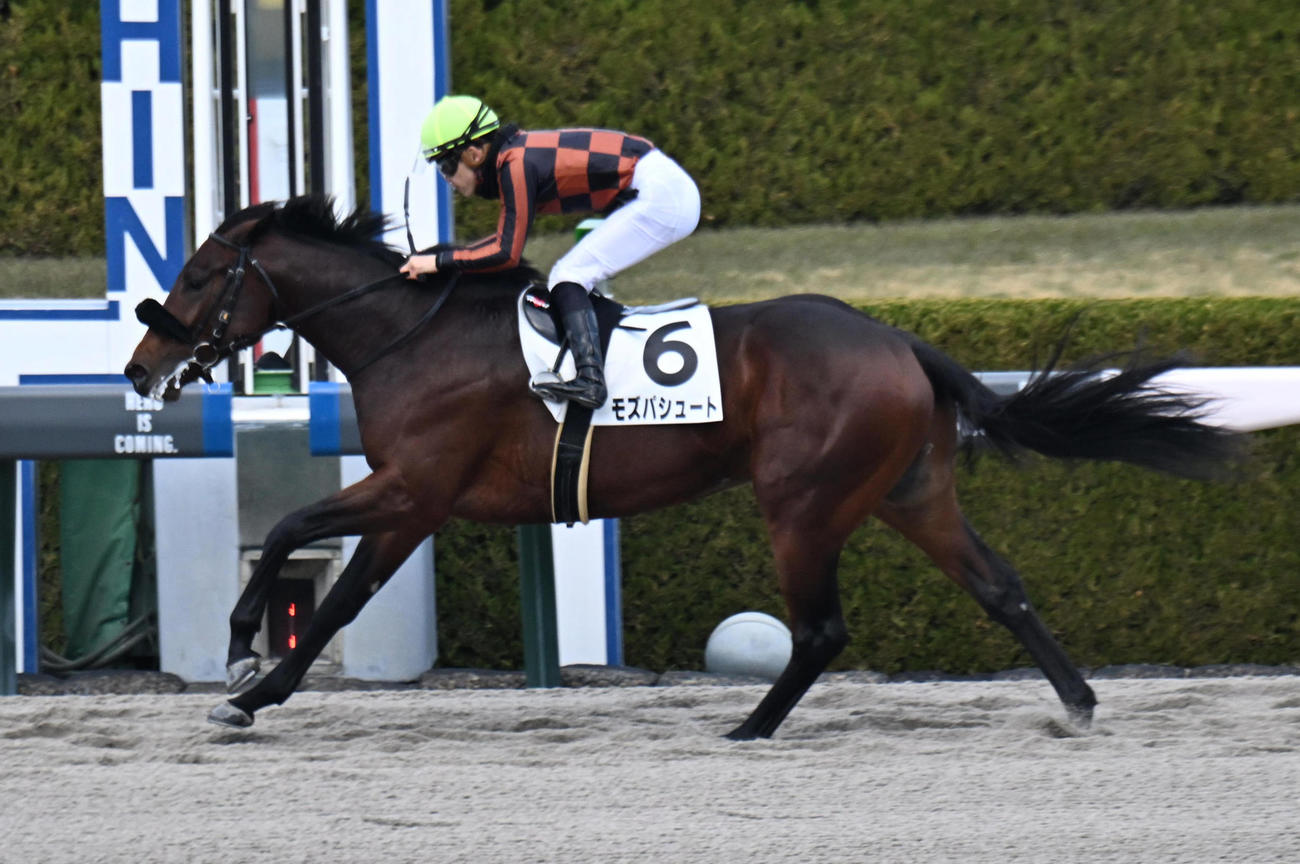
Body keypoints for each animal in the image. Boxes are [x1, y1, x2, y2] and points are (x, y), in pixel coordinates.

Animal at [124, 195, 1243, 739]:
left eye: (199, 273)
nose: (139, 365)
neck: (412, 333)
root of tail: (898, 341)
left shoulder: (415, 488)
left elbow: (299, 550)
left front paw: (243, 666)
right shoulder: (410, 500)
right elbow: (326, 578)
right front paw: (251, 679)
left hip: (802, 501)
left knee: (821, 629)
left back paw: (749, 726)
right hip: (910, 493)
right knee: (1001, 588)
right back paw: (1078, 703)